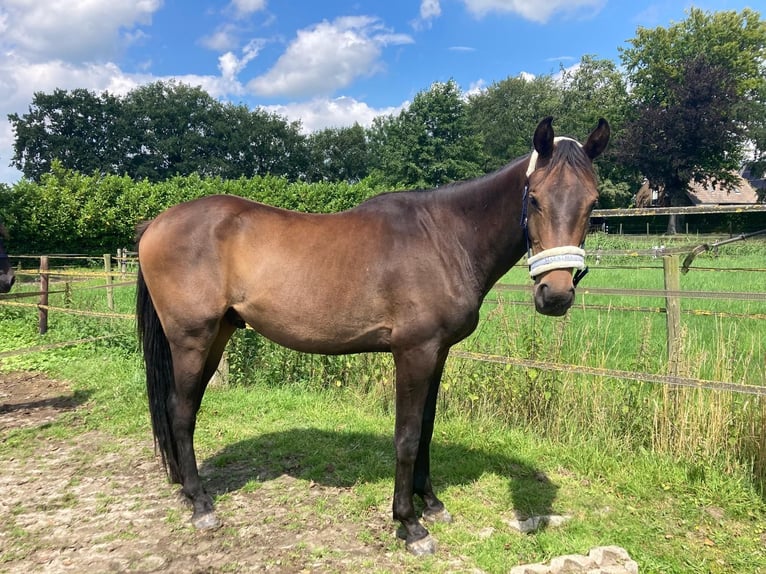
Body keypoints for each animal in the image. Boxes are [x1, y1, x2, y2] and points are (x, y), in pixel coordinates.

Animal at [135, 116, 608, 552]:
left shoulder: (437, 353)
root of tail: (155, 224)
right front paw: (410, 524)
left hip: (217, 335)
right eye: (535, 199)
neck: (444, 238)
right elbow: (407, 436)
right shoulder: (414, 352)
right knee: (180, 410)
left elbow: (427, 428)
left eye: (592, 203)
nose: (555, 296)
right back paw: (200, 504)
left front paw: (432, 504)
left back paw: (187, 489)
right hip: (192, 338)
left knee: (186, 408)